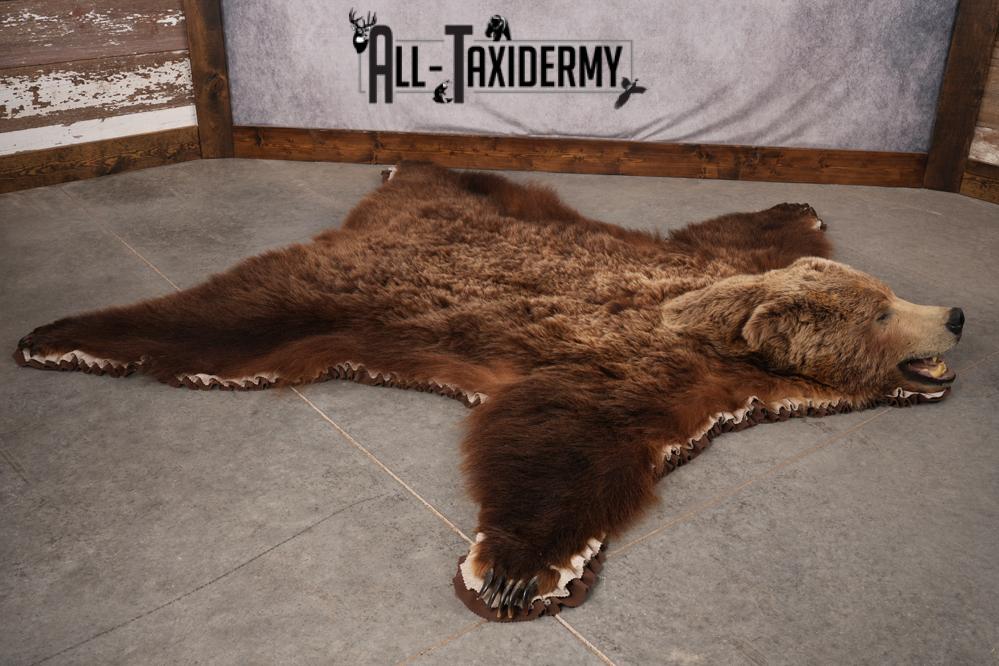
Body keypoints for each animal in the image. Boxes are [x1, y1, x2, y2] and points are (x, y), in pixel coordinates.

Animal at [13, 162, 964, 621]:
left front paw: (799, 202)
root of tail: (367, 228)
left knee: (458, 174)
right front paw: (516, 570)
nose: (954, 311)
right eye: (882, 312)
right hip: (322, 301)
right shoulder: (630, 376)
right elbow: (561, 443)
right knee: (212, 316)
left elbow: (762, 226)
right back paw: (59, 336)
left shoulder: (721, 266)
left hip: (463, 214)